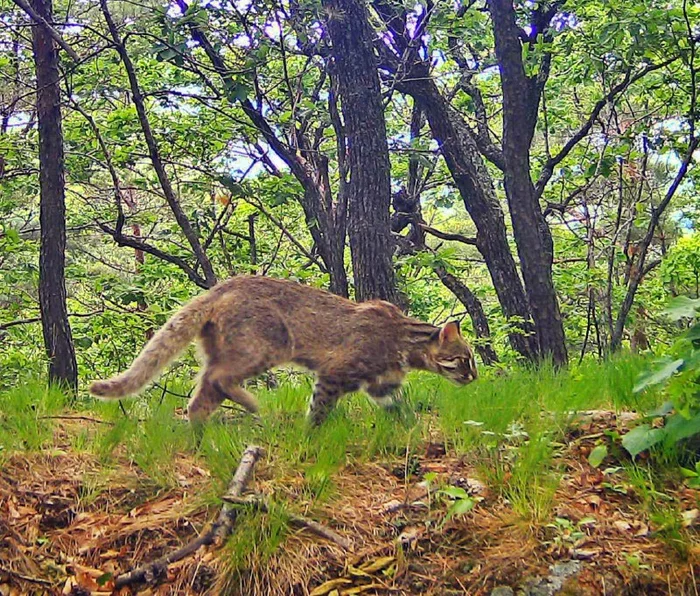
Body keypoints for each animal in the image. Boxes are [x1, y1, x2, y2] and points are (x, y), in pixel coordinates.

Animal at [90, 278, 478, 426]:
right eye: (464, 359)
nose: (474, 376)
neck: (403, 341)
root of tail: (220, 286)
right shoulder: (335, 373)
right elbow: (319, 410)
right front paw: (311, 434)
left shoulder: (380, 385)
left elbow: (400, 408)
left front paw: (411, 427)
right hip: (265, 348)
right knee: (217, 378)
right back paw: (251, 405)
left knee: (200, 398)